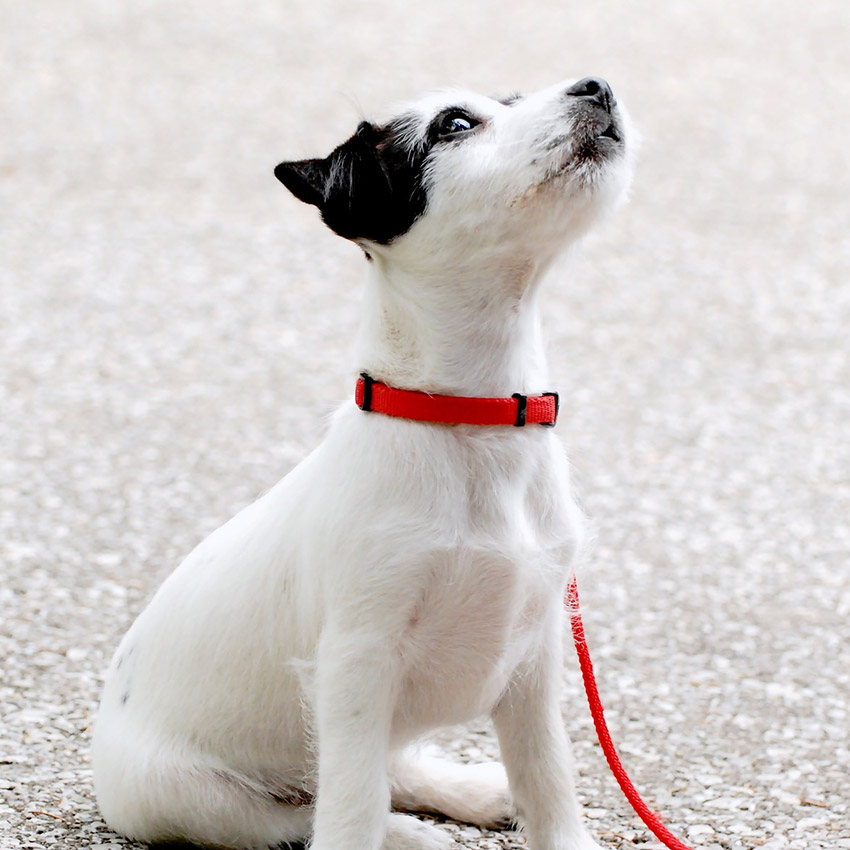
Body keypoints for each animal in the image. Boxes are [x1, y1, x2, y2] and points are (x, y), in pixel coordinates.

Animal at [94, 76, 628, 844]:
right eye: (455, 124)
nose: (597, 85)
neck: (470, 419)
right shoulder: (355, 663)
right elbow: (350, 803)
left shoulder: (535, 656)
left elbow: (548, 774)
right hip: (187, 796)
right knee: (304, 811)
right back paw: (411, 833)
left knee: (379, 773)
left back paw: (468, 792)